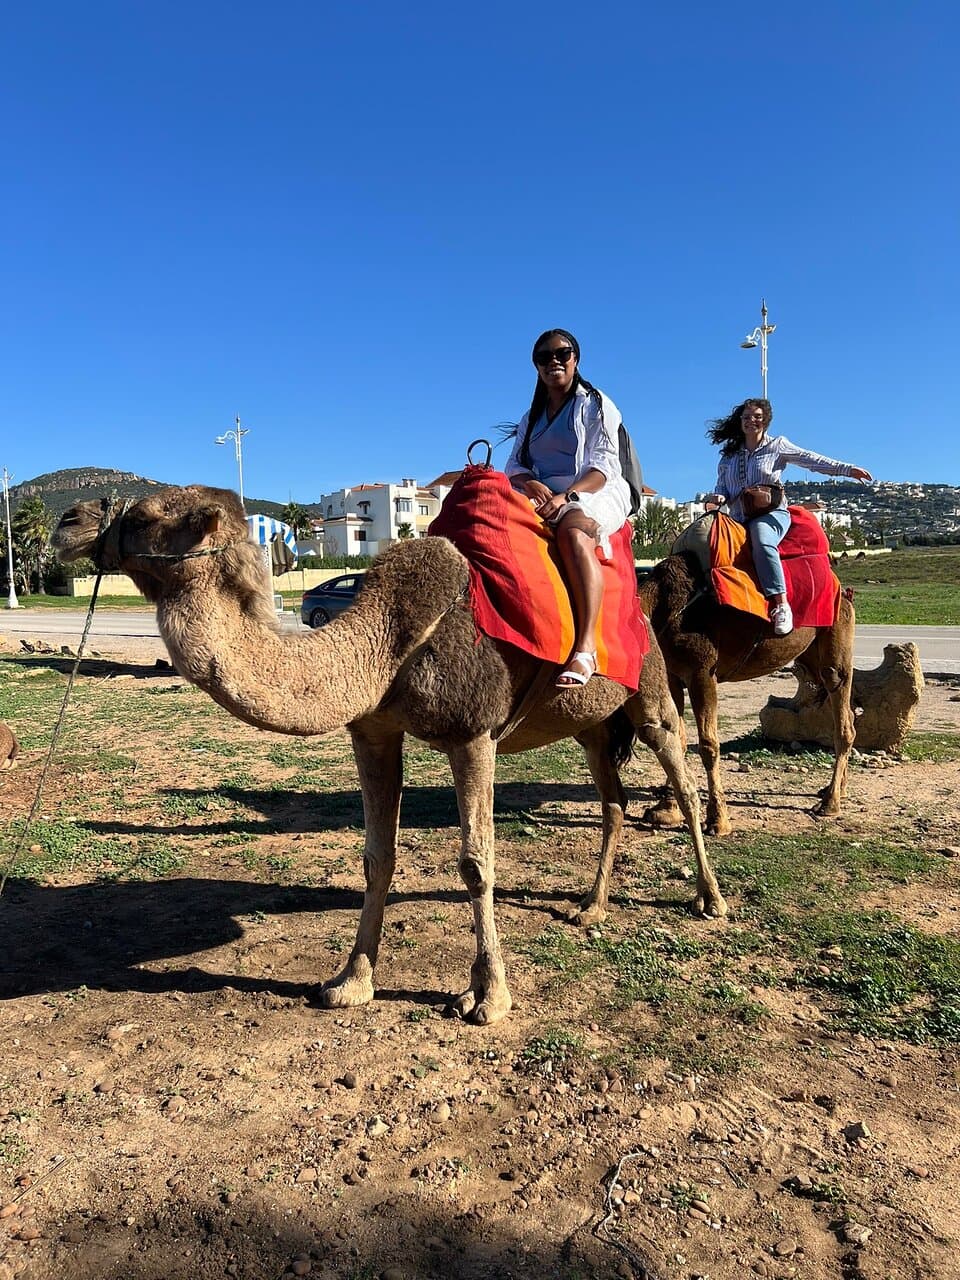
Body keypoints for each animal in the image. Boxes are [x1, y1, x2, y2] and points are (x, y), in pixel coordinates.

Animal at [53, 486, 726, 1026]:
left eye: (145, 514)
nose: (66, 521)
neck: (382, 644)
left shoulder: (473, 733)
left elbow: (476, 862)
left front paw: (488, 997)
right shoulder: (374, 731)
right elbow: (377, 857)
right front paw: (350, 982)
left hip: (651, 689)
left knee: (679, 771)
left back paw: (710, 899)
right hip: (589, 723)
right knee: (611, 801)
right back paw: (590, 907)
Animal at [633, 547, 856, 837]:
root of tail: (845, 591)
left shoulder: (702, 672)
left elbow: (708, 744)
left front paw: (718, 821)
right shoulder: (672, 676)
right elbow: (677, 740)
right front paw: (666, 810)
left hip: (836, 640)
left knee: (840, 706)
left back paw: (830, 803)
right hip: (809, 655)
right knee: (848, 715)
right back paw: (835, 789)